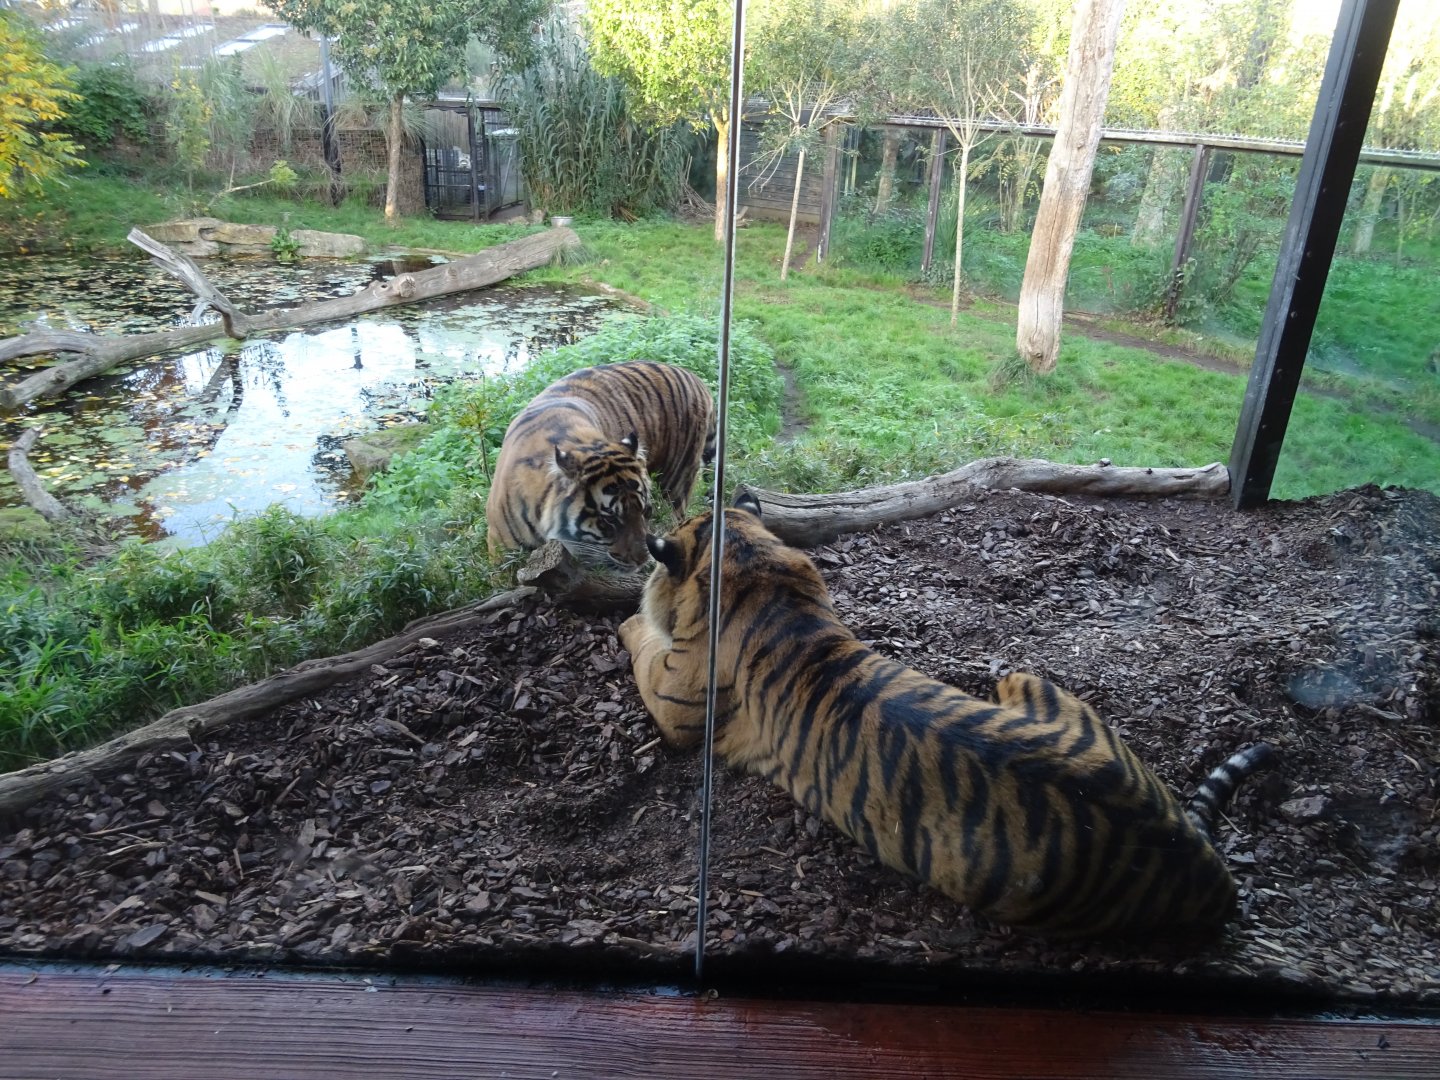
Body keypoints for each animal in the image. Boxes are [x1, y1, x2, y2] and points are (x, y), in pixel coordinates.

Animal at [485, 361, 716, 568]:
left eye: (646, 511)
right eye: (609, 520)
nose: (643, 560)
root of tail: (694, 378)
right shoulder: (500, 547)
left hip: (676, 481)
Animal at [617, 492, 1277, 939]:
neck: (756, 567)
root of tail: (1196, 858)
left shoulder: (675, 702)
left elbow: (642, 644)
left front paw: (626, 619)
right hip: (1024, 674)